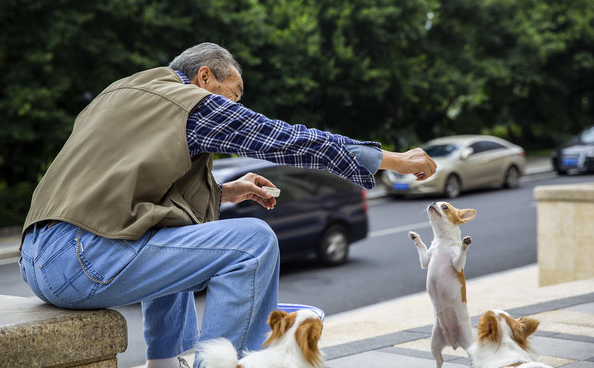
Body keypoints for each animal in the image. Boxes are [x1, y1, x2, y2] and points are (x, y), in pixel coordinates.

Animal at [408, 201, 476, 368]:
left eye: (445, 207)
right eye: (436, 202)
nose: (432, 203)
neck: (442, 243)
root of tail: (453, 342)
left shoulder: (457, 265)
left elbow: (461, 255)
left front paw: (465, 244)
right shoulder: (426, 261)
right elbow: (422, 249)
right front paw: (415, 237)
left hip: (469, 344)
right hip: (434, 343)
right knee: (440, 360)